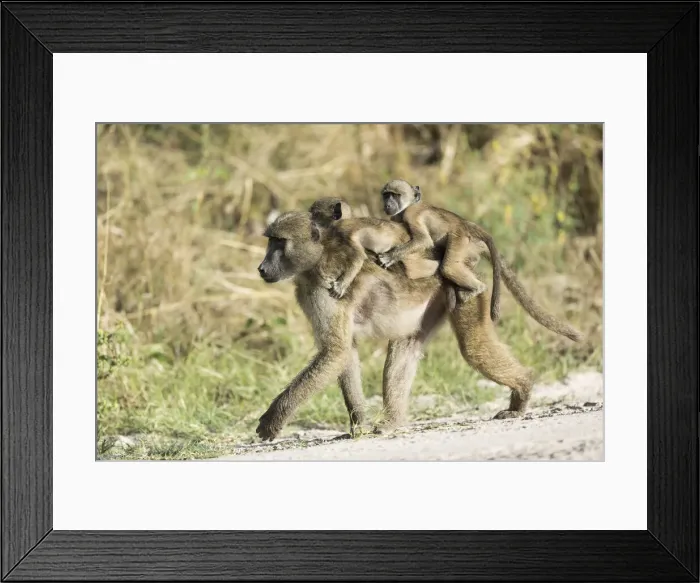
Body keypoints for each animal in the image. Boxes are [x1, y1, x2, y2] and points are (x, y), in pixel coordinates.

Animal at [255, 207, 583, 441]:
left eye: (278, 242)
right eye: (269, 241)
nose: (261, 268)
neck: (317, 258)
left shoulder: (323, 292)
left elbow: (334, 352)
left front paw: (272, 421)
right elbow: (344, 351)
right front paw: (359, 424)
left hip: (462, 290)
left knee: (473, 349)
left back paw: (522, 393)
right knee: (405, 346)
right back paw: (392, 422)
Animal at [376, 178, 503, 323]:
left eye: (396, 195)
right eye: (387, 195)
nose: (387, 205)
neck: (408, 206)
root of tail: (462, 224)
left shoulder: (411, 214)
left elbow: (424, 240)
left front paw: (390, 257)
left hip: (458, 238)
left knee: (448, 268)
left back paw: (479, 287)